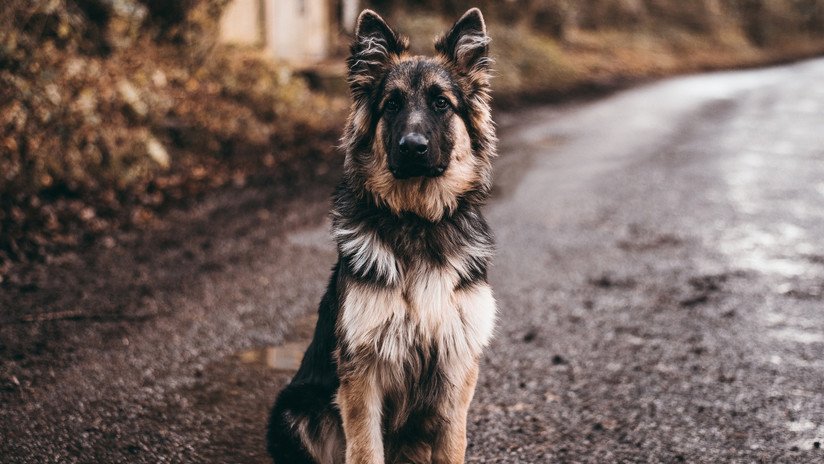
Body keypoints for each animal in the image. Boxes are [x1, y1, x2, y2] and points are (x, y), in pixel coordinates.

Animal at [268, 8, 496, 464]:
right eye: (392, 104)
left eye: (441, 103)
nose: (412, 146)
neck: (417, 220)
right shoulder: (362, 374)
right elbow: (365, 448)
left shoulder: (457, 367)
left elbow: (452, 446)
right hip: (294, 408)